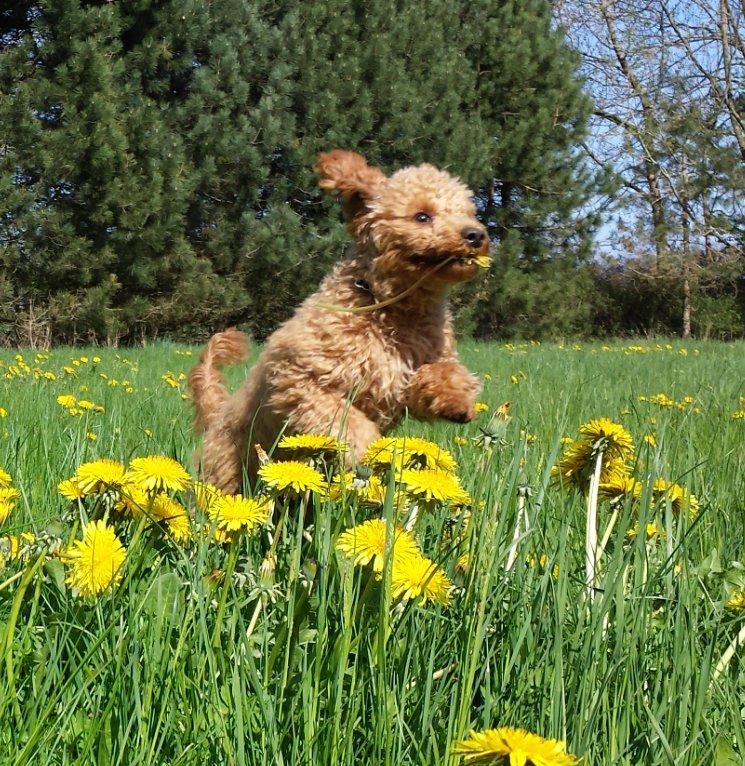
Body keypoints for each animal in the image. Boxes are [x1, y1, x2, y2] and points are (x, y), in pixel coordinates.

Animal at [189, 152, 486, 492]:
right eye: (422, 216)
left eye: (468, 213)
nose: (476, 234)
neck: (390, 310)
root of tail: (218, 414)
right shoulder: (300, 382)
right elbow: (348, 421)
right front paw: (369, 450)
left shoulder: (409, 375)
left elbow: (441, 373)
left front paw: (457, 399)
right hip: (224, 474)